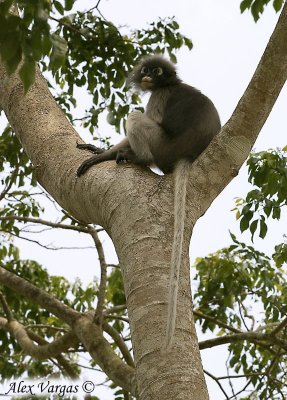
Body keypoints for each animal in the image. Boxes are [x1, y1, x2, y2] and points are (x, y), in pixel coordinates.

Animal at [76, 55, 220, 350]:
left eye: (156, 71)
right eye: (146, 69)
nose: (147, 76)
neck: (168, 84)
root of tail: (187, 155)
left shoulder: (159, 96)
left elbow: (145, 116)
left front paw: (101, 155)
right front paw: (99, 150)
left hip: (161, 146)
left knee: (134, 116)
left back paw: (136, 158)